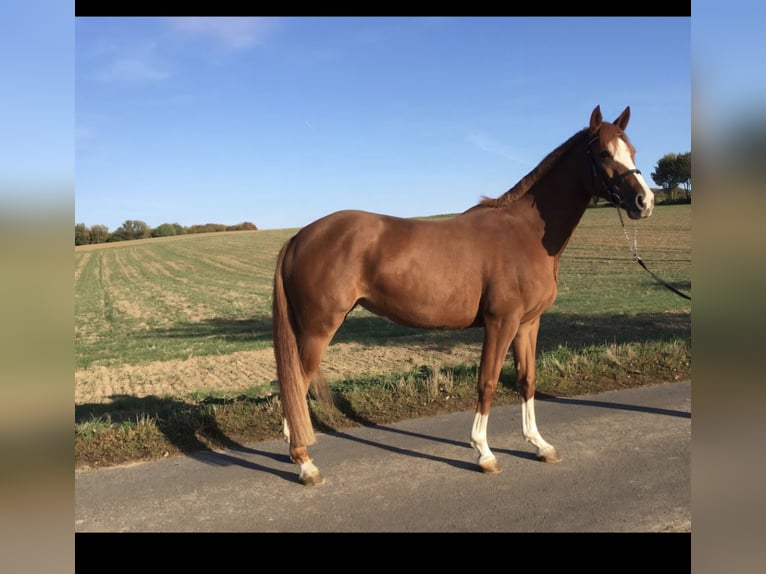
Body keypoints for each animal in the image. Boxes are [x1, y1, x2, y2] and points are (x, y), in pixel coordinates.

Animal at [272, 105, 655, 486]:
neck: (525, 233)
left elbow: (526, 380)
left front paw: (539, 444)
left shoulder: (528, 324)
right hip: (319, 329)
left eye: (633, 151)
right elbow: (487, 382)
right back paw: (305, 463)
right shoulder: (500, 323)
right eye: (604, 153)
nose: (645, 201)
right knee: (295, 385)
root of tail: (299, 237)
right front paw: (483, 452)